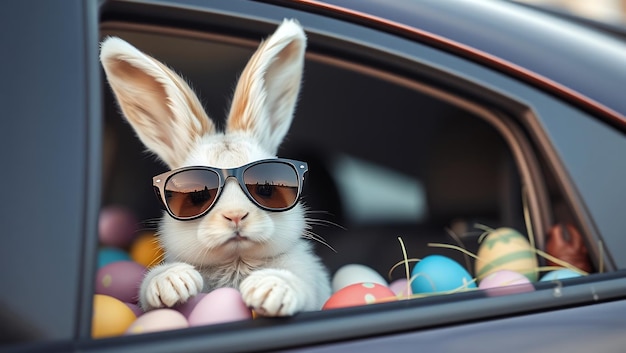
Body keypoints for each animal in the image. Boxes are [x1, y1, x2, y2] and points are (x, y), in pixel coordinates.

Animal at [100, 20, 330, 316]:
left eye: (265, 188)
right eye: (197, 195)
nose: (235, 216)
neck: (236, 261)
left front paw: (270, 289)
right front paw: (171, 283)